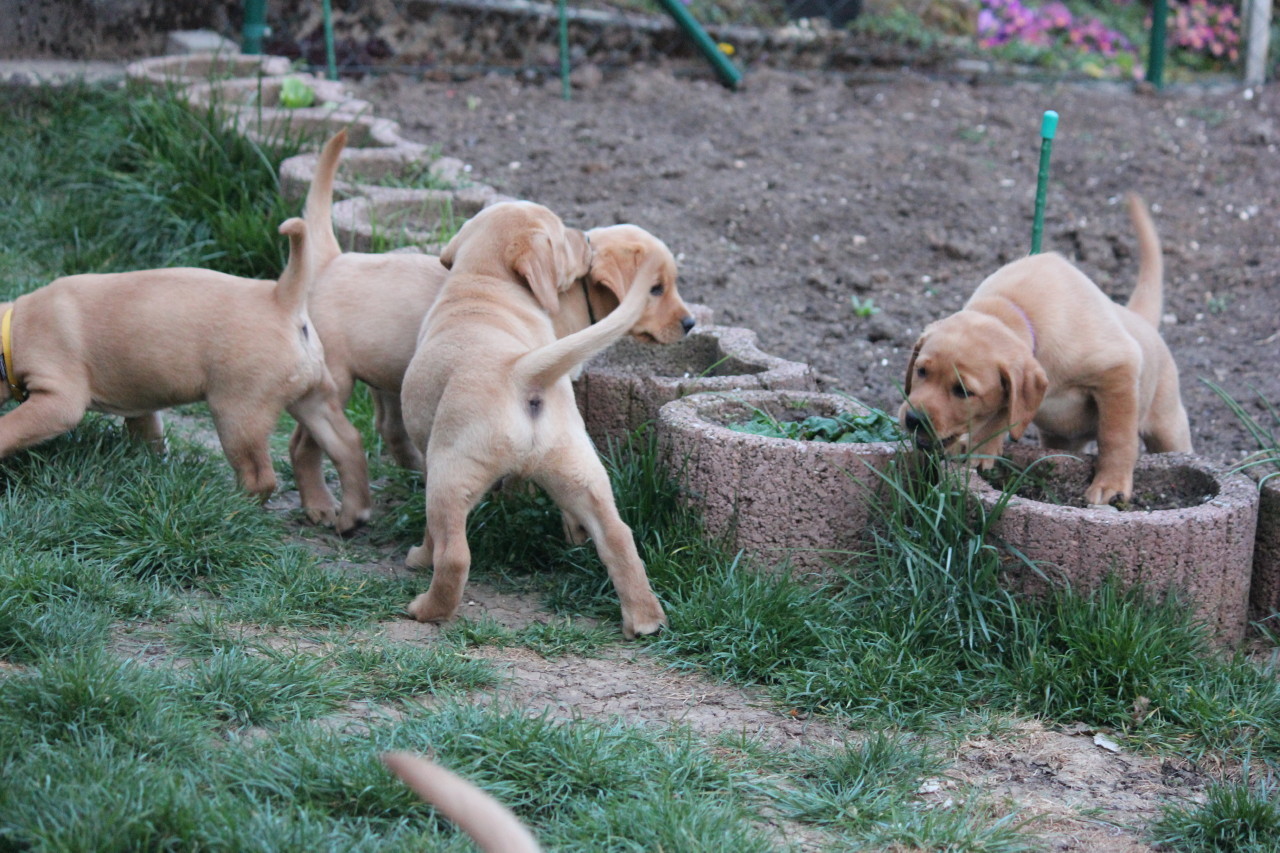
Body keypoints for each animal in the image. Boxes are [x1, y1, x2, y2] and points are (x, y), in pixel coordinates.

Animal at [401, 201, 670, 637]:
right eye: (564, 238)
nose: (587, 239)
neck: (485, 284)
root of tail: (519, 370)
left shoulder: (428, 461)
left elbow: (432, 533)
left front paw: (421, 554)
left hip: (449, 471)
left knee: (455, 555)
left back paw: (427, 607)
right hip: (580, 468)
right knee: (617, 535)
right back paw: (646, 620)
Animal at [901, 194, 1187, 502]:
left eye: (964, 391)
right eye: (921, 371)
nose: (914, 419)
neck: (1012, 308)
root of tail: (1141, 320)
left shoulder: (1117, 370)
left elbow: (1116, 435)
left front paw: (1111, 484)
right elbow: (1004, 409)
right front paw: (980, 449)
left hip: (1168, 425)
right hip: (1059, 437)